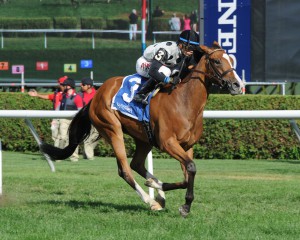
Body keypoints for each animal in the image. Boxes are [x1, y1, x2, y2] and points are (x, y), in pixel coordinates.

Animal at [41, 41, 244, 218]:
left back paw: (157, 192)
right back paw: (150, 200)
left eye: (231, 60)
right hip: (112, 128)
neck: (185, 101)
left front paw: (161, 188)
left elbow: (188, 174)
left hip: (143, 138)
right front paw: (185, 206)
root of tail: (97, 94)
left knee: (136, 164)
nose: (238, 85)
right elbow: (191, 168)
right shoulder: (167, 143)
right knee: (125, 169)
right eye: (217, 61)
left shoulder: (187, 146)